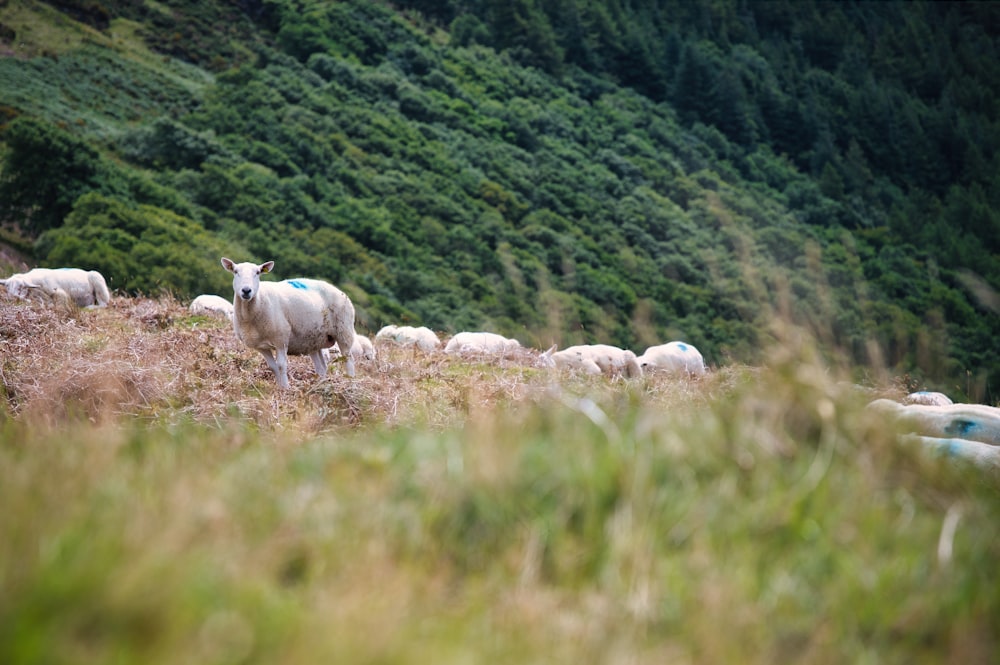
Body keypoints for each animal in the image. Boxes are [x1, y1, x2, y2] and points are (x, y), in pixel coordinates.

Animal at [222, 255, 356, 390]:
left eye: (258, 272)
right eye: (235, 272)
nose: (246, 290)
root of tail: (338, 290)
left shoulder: (281, 338)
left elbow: (281, 365)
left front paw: (286, 388)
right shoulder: (261, 346)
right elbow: (273, 367)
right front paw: (280, 388)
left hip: (344, 330)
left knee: (348, 359)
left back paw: (351, 383)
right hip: (314, 339)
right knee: (321, 367)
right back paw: (320, 386)